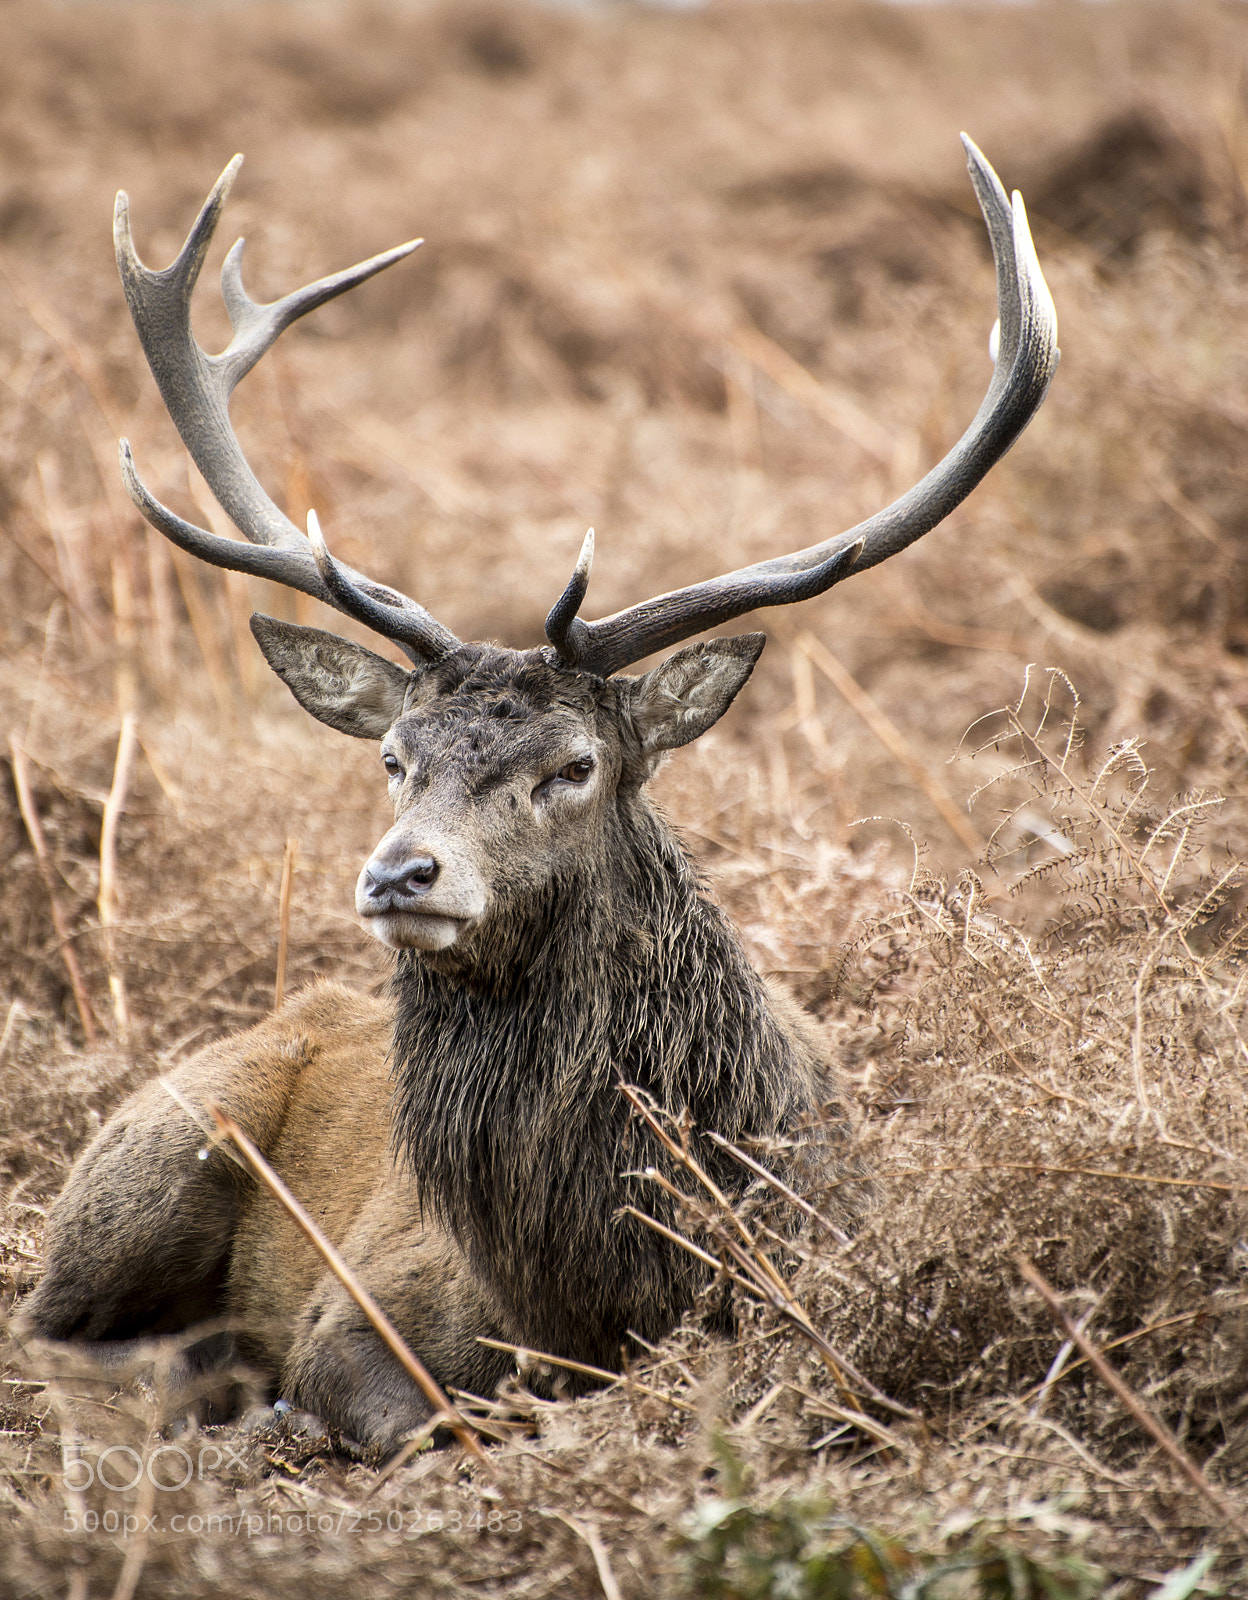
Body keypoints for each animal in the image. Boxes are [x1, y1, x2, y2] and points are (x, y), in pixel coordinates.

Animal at [23, 140, 1057, 1452]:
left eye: (575, 764)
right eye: (393, 753)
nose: (400, 871)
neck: (587, 1298)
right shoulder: (356, 1307)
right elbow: (419, 1417)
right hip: (156, 1147)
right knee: (45, 1331)